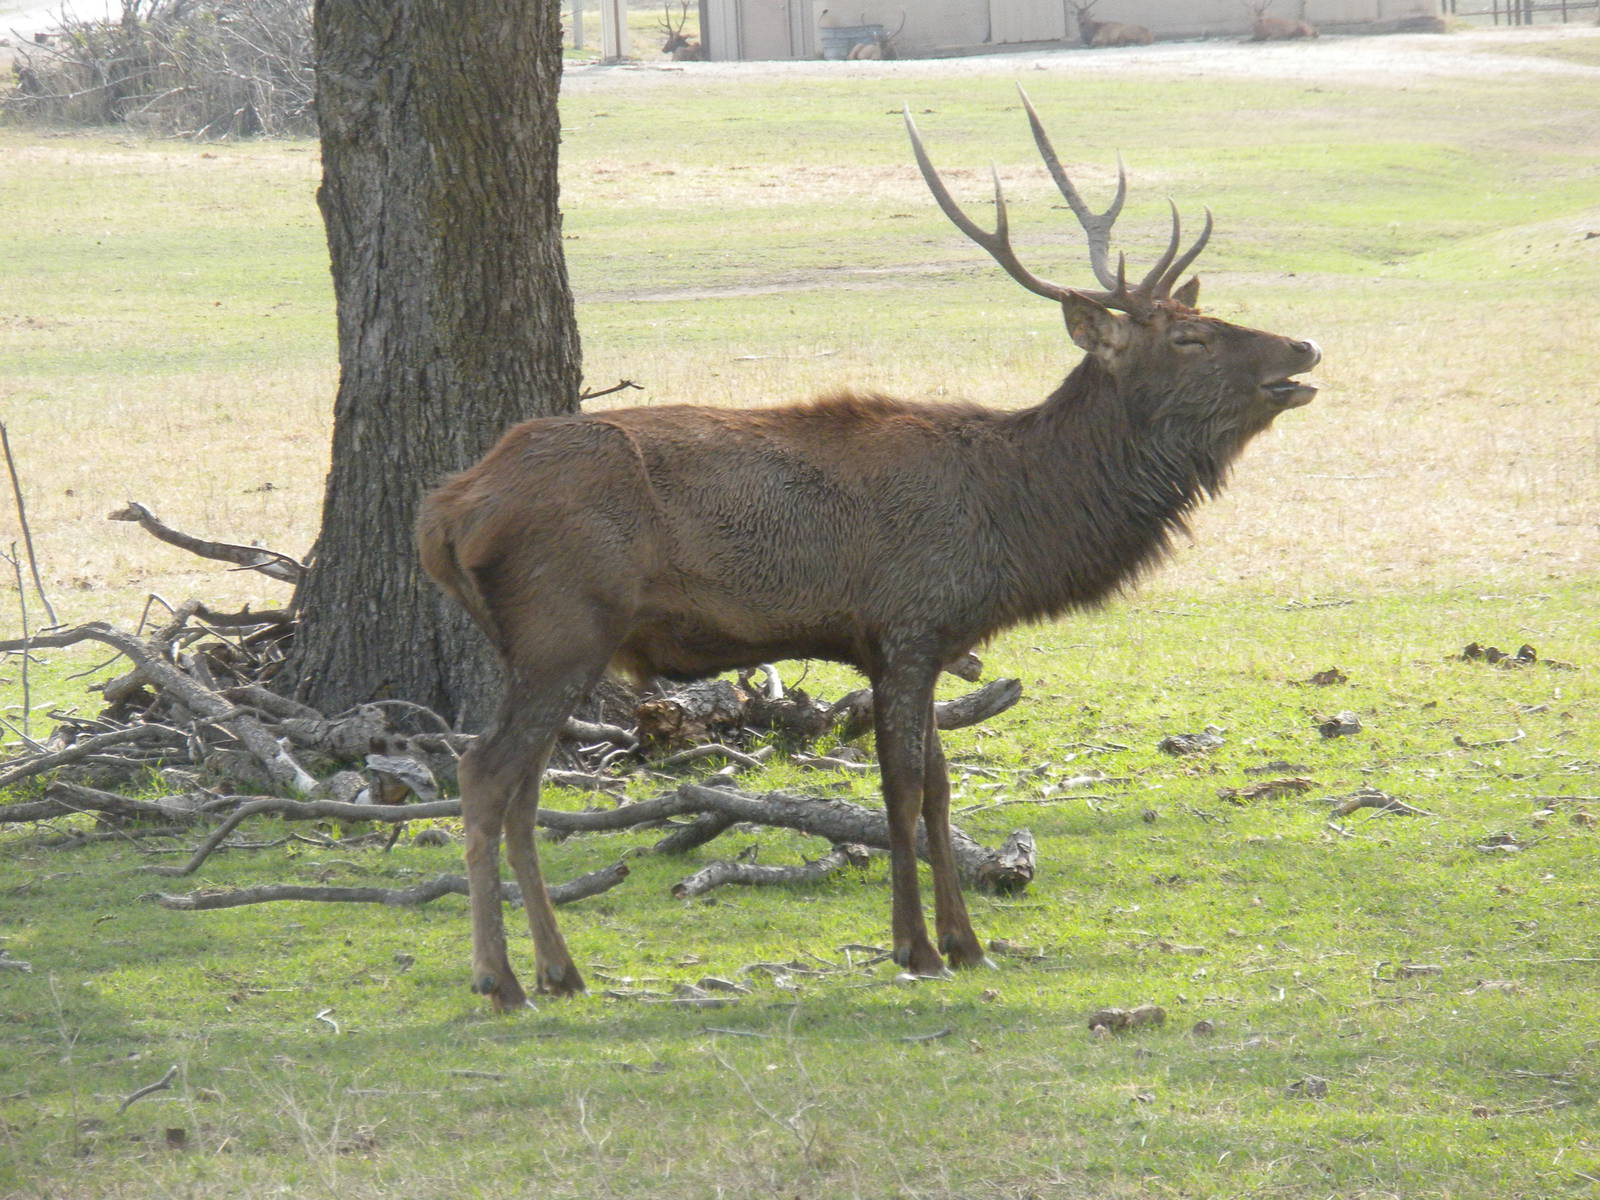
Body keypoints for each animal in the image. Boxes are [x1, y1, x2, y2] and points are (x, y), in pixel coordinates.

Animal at [417, 89, 1321, 1012]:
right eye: (1187, 339)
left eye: (1203, 318)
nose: (1304, 347)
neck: (1016, 518)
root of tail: (448, 506)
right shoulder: (908, 625)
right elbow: (902, 786)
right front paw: (915, 947)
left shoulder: (923, 641)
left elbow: (942, 787)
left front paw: (966, 943)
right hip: (563, 623)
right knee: (485, 773)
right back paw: (501, 979)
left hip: (543, 642)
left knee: (525, 787)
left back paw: (559, 970)